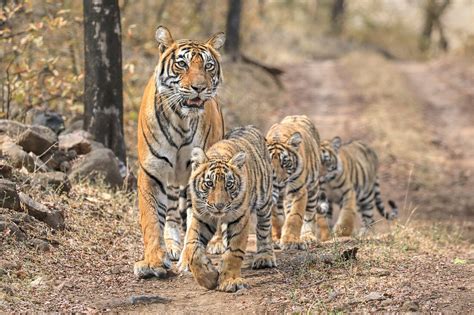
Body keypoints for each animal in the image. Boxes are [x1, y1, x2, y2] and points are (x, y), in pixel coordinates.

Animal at [135, 26, 226, 278]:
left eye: (208, 66)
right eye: (182, 64)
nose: (199, 88)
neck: (180, 119)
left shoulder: (202, 173)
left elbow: (196, 223)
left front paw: (190, 259)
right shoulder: (152, 170)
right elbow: (151, 218)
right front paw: (154, 261)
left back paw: (216, 243)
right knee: (172, 213)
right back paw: (173, 245)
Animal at [182, 126, 278, 294]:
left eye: (229, 184)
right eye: (209, 183)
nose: (219, 206)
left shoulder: (240, 218)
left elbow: (233, 251)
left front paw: (230, 281)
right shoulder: (201, 217)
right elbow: (193, 248)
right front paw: (208, 278)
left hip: (265, 199)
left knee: (264, 228)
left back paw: (264, 258)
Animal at [266, 115, 330, 249]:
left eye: (285, 162)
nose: (278, 182)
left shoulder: (298, 191)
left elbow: (294, 216)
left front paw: (290, 241)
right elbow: (275, 217)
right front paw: (275, 239)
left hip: (312, 189)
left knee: (309, 215)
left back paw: (308, 237)